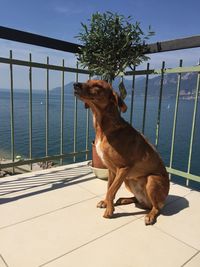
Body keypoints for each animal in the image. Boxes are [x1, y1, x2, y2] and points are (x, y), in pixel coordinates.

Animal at [73, 80, 169, 226]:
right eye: (88, 81)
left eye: (97, 86)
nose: (75, 85)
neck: (104, 127)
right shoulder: (112, 170)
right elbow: (108, 187)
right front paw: (106, 203)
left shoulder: (123, 168)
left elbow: (111, 191)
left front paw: (109, 210)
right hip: (129, 180)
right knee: (141, 201)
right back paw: (124, 199)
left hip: (151, 179)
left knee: (156, 207)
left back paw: (150, 215)